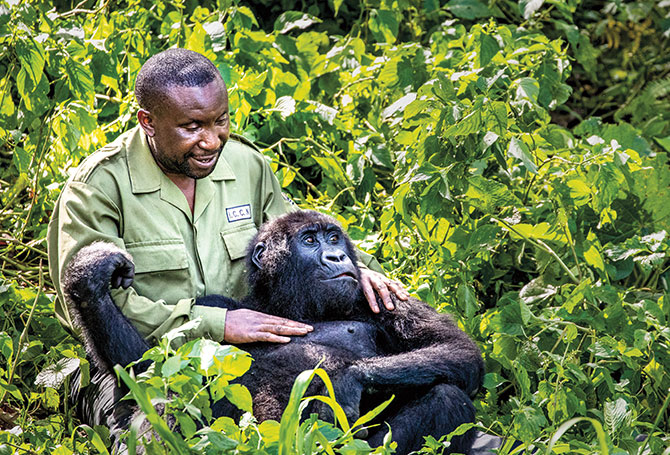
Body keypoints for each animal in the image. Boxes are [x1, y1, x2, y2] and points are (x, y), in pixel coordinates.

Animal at [63, 212, 486, 454]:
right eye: (310, 240)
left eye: (334, 237)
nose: (338, 256)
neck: (287, 304)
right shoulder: (216, 304)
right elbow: (149, 370)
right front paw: (89, 277)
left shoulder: (380, 297)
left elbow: (458, 351)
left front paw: (346, 380)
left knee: (449, 399)